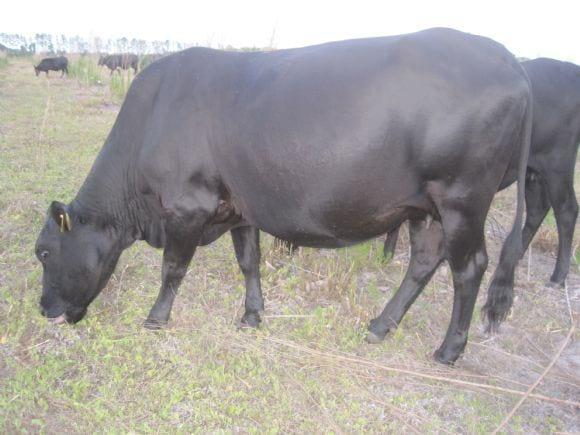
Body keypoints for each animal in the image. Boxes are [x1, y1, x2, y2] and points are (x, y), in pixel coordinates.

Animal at [382, 58, 576, 294]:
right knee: (538, 208)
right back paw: (517, 255)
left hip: (558, 163)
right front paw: (387, 254)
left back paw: (558, 276)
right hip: (533, 172)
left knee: (566, 210)